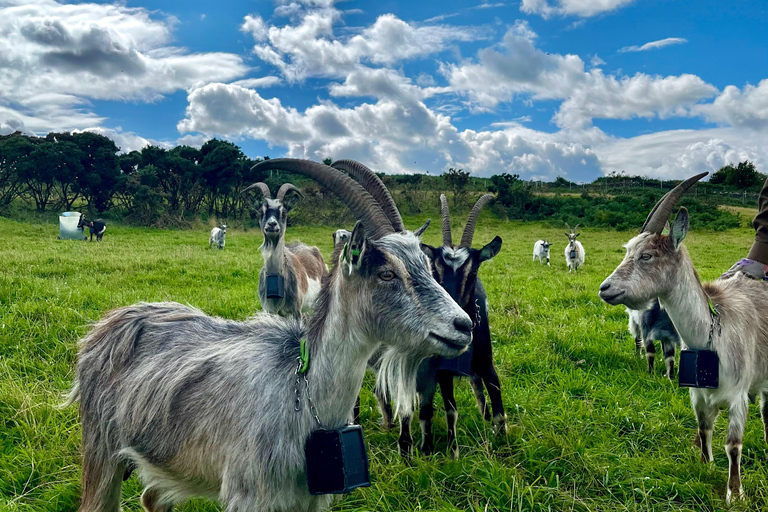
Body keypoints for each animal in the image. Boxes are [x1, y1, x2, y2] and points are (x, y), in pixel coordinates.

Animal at [596, 173, 768, 504]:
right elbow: (703, 430)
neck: (712, 336)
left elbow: (734, 445)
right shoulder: (698, 395)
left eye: (646, 255)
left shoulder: (738, 396)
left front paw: (735, 493)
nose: (605, 288)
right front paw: (704, 465)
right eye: (627, 252)